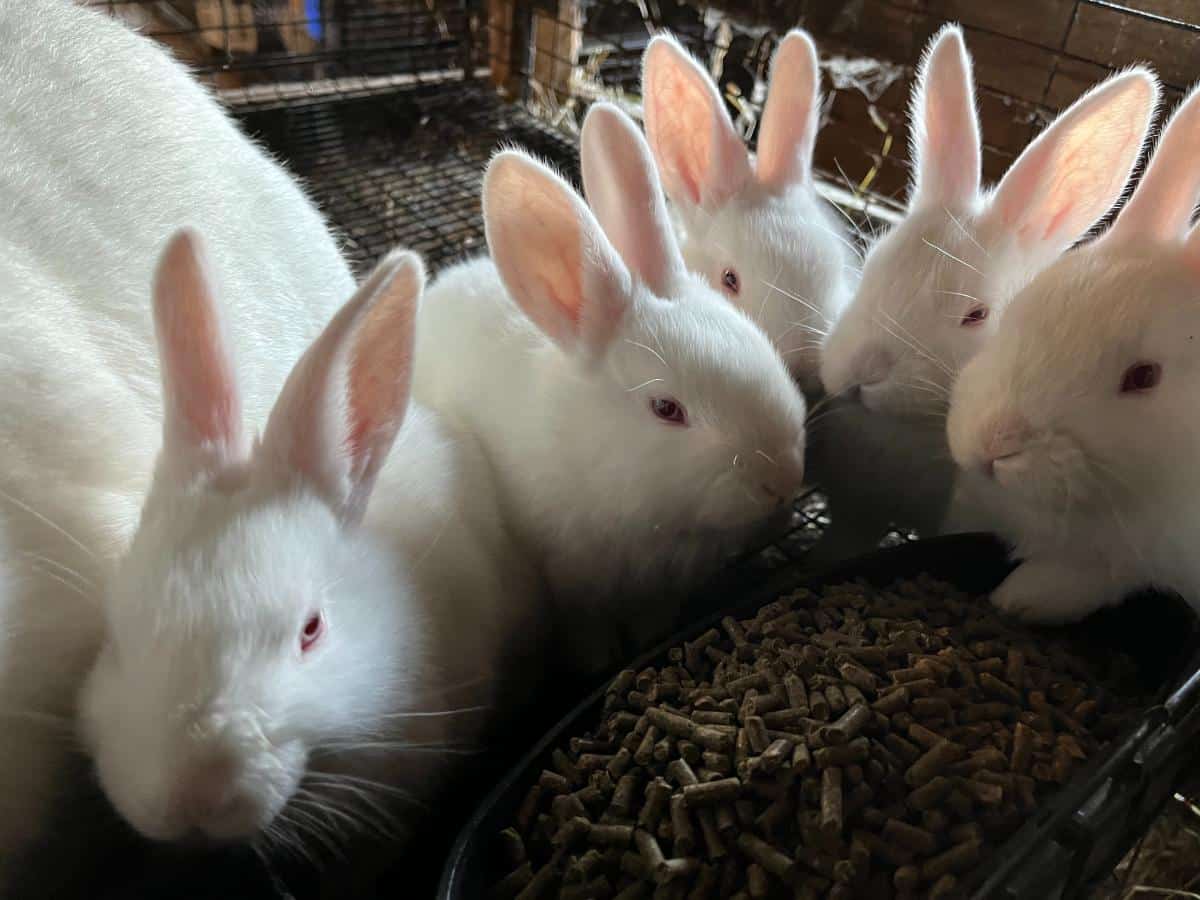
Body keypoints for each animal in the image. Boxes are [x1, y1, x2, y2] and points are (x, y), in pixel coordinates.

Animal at [413, 102, 808, 676]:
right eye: (666, 408)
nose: (782, 479)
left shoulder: (661, 587)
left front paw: (651, 639)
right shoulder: (571, 581)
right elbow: (587, 630)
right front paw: (600, 662)